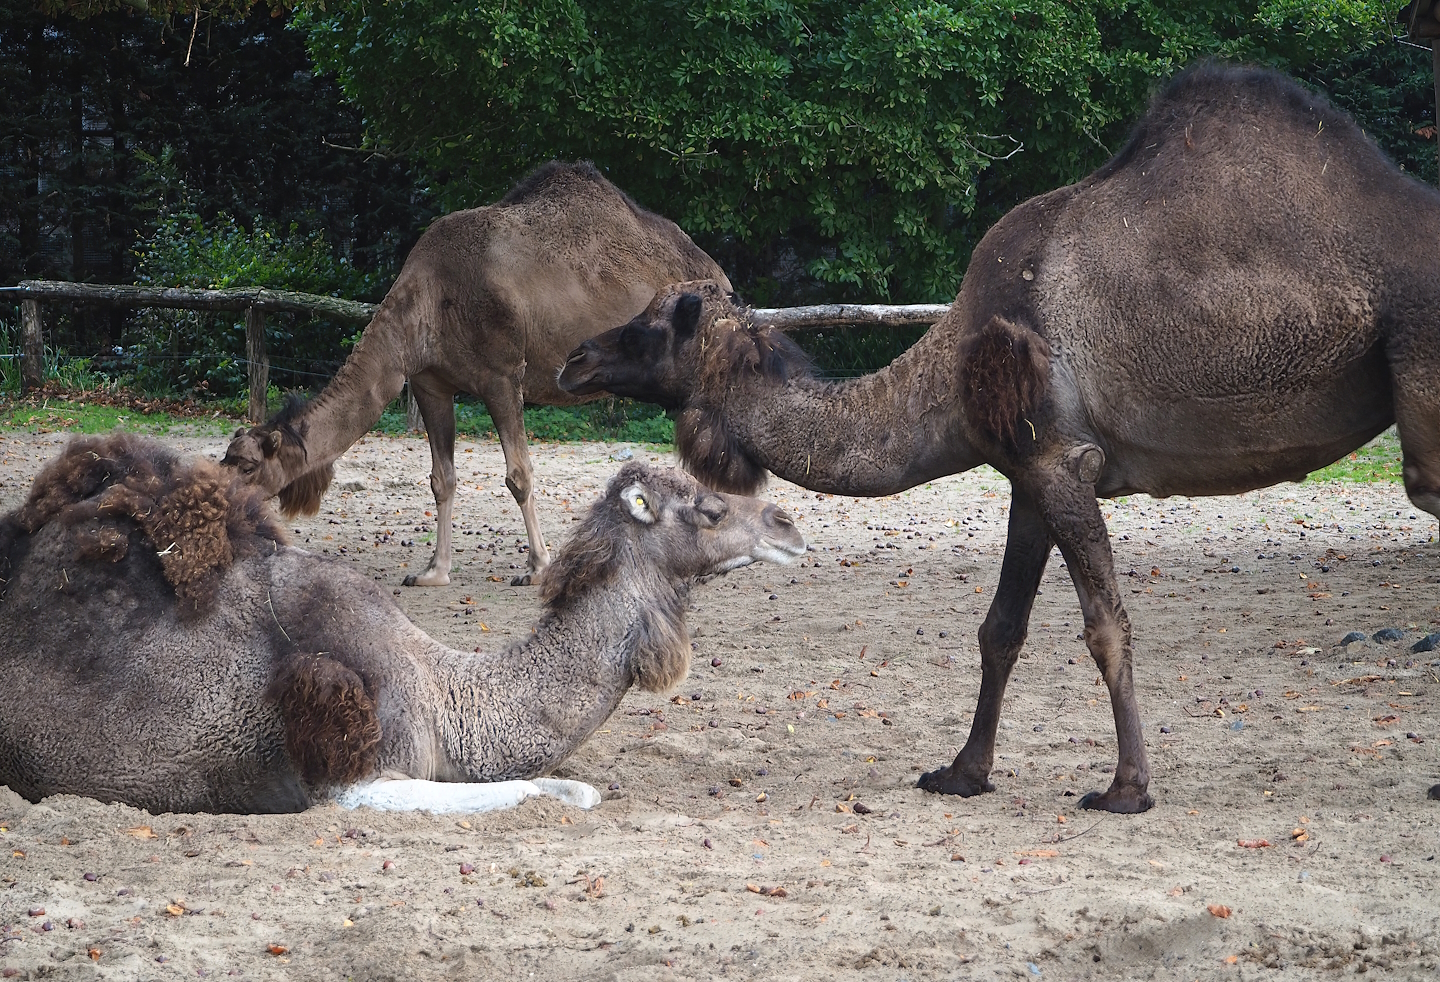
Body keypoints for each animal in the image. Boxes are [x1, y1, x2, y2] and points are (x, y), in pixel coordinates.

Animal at [222, 160, 730, 587]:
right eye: (226, 457)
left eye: (248, 465)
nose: (220, 502)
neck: (427, 302)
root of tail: (718, 274)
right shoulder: (430, 382)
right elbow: (441, 478)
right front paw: (434, 571)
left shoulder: (501, 376)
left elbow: (519, 475)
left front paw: (538, 567)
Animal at [559, 64, 1440, 813]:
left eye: (651, 325)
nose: (575, 359)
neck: (948, 371)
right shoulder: (1028, 473)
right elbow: (1000, 630)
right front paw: (962, 772)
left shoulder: (1062, 460)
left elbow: (1105, 624)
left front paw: (1126, 788)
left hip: (1421, 371)